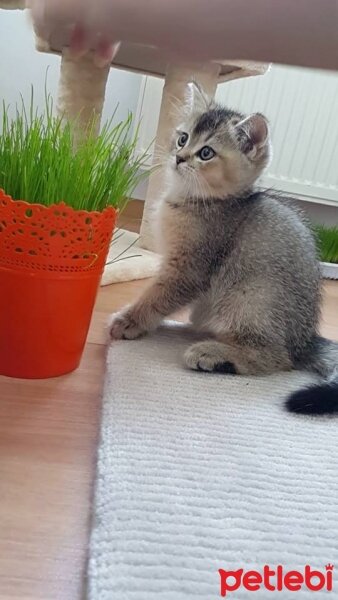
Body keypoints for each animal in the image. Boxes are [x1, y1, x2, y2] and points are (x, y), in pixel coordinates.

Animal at [111, 82, 338, 414]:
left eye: (206, 153)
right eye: (183, 138)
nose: (179, 157)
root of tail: (305, 341)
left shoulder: (188, 269)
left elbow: (157, 295)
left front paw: (129, 321)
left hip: (249, 296)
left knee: (277, 359)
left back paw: (212, 355)